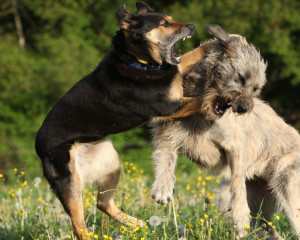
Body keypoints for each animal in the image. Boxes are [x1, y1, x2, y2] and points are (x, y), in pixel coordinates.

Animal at [35, 2, 203, 240]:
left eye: (171, 19)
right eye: (164, 23)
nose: (192, 26)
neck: (137, 61)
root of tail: (38, 146)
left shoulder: (174, 79)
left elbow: (192, 55)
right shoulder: (169, 106)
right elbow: (201, 99)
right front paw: (226, 98)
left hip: (109, 162)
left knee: (102, 203)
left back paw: (137, 224)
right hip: (68, 181)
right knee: (79, 226)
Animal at [152, 24, 300, 240]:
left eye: (256, 88)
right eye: (240, 77)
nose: (244, 109)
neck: (201, 110)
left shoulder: (233, 146)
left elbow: (237, 183)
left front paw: (239, 218)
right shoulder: (168, 133)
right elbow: (165, 157)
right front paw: (163, 187)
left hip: (287, 189)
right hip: (250, 203)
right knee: (268, 229)